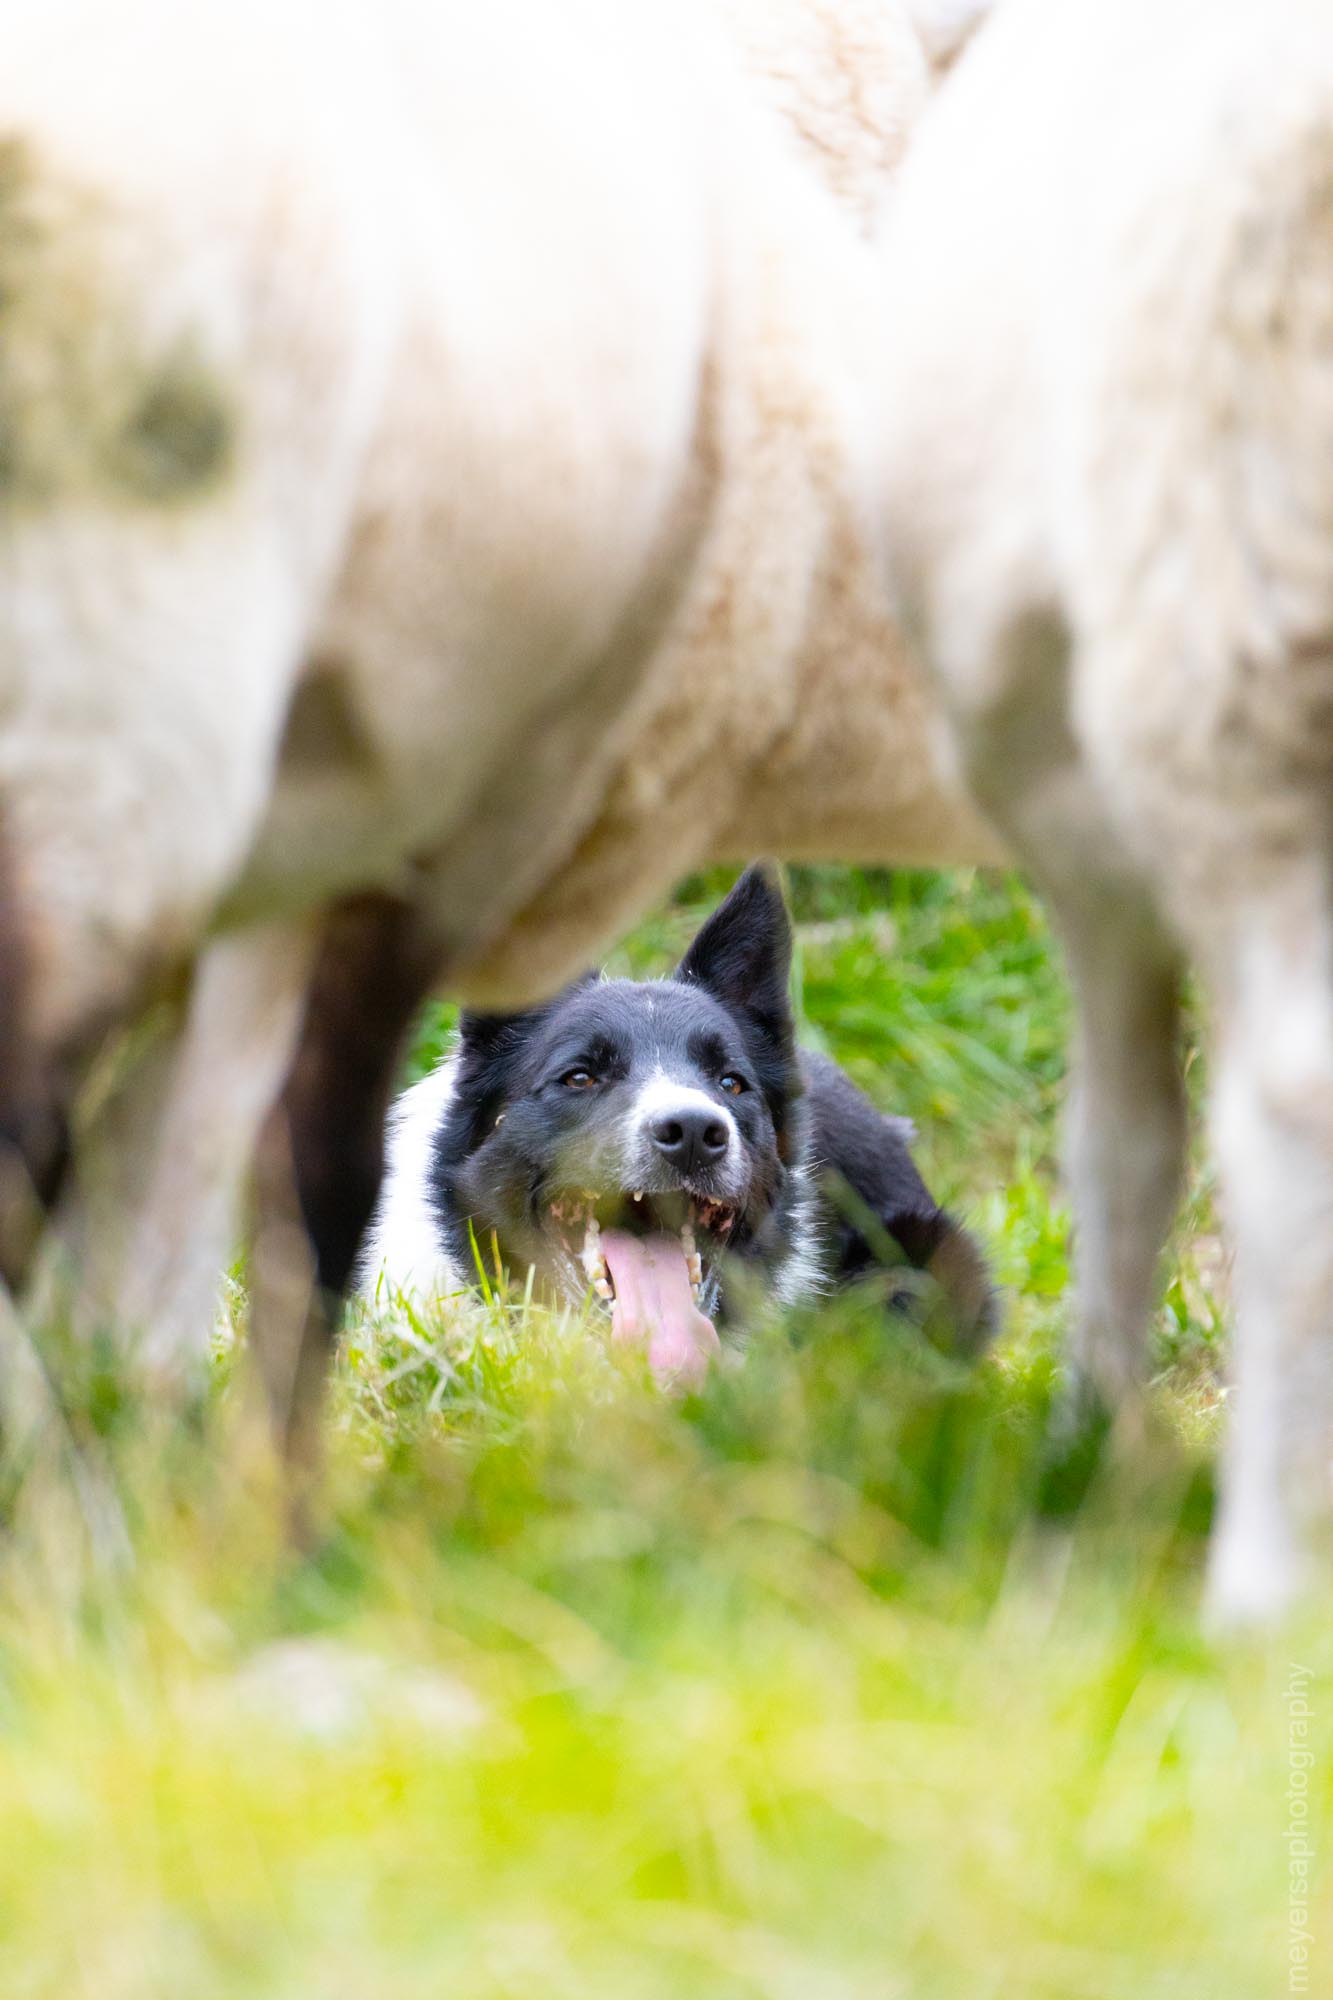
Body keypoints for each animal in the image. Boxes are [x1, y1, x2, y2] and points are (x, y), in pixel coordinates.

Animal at [872, 0, 1328, 1624]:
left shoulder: (1079, 837)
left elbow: (1122, 1147)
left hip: (1221, 660)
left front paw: (1084, 1428)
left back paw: (1262, 1578)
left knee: (1288, 1113)